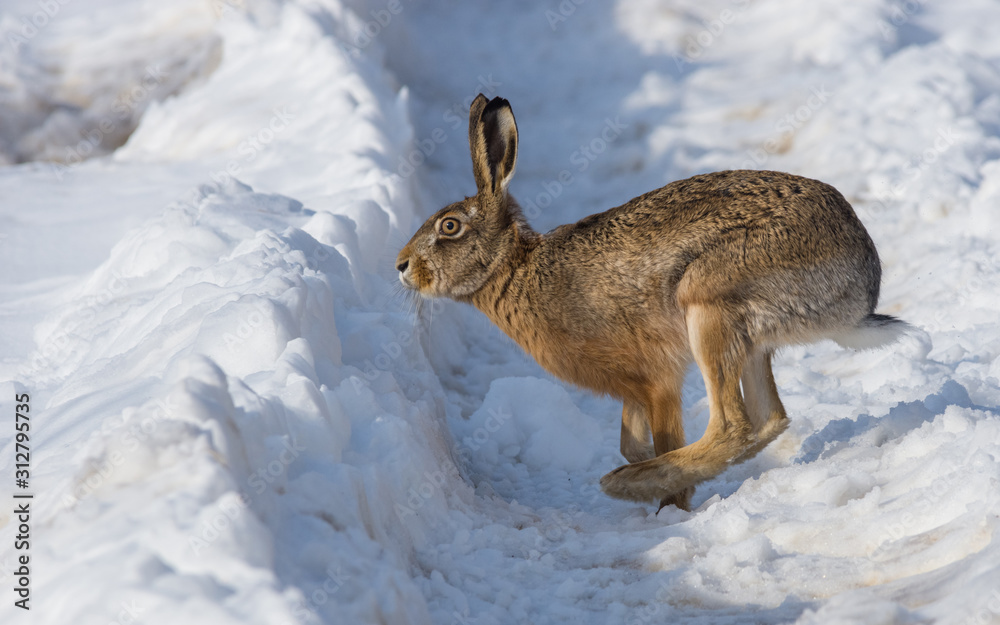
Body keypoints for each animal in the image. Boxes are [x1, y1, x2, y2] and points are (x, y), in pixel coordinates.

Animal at [395, 94, 909, 511]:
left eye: (449, 227)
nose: (401, 265)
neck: (517, 268)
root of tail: (860, 289)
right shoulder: (634, 390)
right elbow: (630, 439)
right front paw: (663, 487)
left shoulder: (657, 377)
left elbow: (662, 435)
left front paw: (672, 505)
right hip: (750, 336)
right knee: (769, 420)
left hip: (708, 303)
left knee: (732, 426)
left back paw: (625, 484)